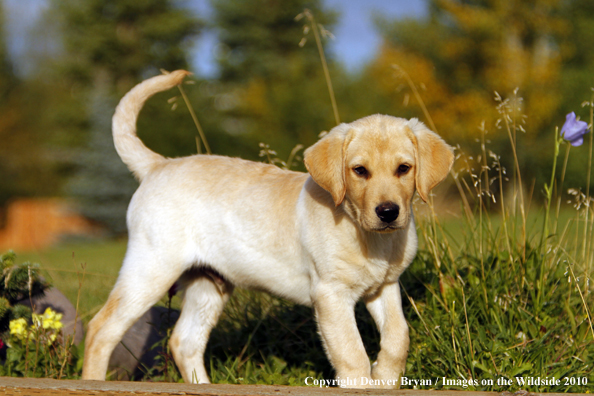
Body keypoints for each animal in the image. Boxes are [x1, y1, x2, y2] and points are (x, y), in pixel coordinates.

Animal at [82, 69, 454, 388]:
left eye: (404, 168)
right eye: (359, 171)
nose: (388, 212)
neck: (365, 234)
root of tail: (158, 165)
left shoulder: (384, 286)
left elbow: (398, 337)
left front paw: (385, 377)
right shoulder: (331, 294)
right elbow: (352, 354)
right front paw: (364, 382)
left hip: (209, 283)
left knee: (184, 341)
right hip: (151, 268)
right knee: (101, 328)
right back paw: (91, 381)